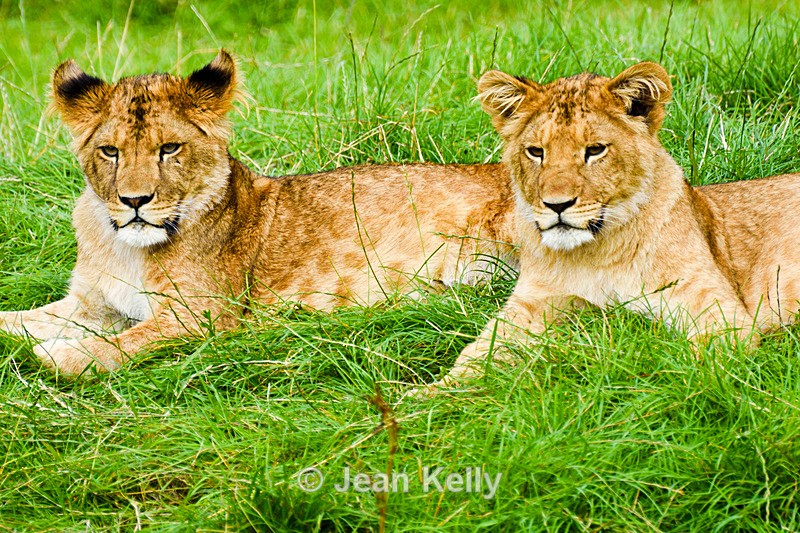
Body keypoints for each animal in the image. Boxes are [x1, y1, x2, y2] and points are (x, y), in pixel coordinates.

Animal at [0, 50, 516, 376]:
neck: (123, 245)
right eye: (110, 151)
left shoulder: (203, 317)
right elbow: (20, 318)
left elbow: (118, 345)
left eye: (169, 149)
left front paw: (53, 356)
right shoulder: (94, 306)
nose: (134, 202)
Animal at [430, 61, 800, 388]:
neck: (597, 252)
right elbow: (478, 353)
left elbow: (690, 365)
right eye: (536, 151)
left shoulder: (718, 309)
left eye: (595, 150)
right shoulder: (530, 304)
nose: (557, 205)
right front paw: (428, 399)